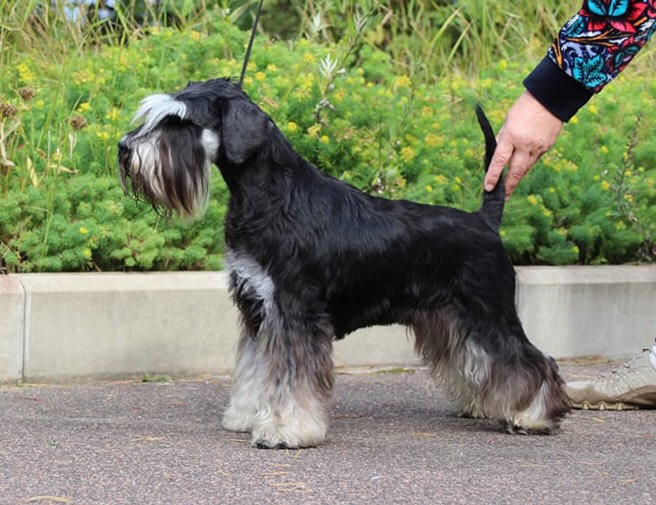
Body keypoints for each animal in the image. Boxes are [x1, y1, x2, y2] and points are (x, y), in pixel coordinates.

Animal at [117, 77, 570, 449]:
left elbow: (290, 379)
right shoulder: (257, 309)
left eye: (179, 122)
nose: (124, 148)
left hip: (488, 312)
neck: (271, 196)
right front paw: (245, 416)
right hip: (450, 321)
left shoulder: (295, 313)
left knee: (531, 360)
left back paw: (532, 417)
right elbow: (254, 369)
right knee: (479, 362)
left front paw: (285, 430)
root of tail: (484, 221)